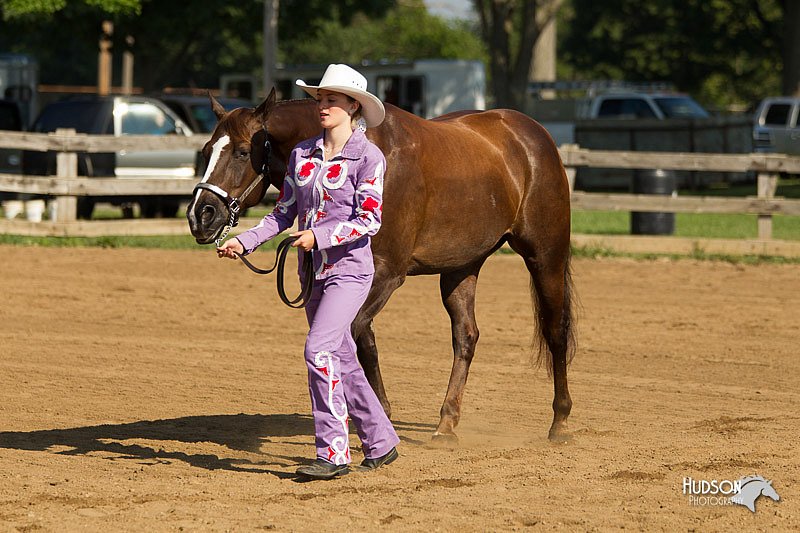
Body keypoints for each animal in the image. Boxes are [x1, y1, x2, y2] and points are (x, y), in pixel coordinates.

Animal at [188, 89, 576, 440]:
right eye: (206, 151)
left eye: (242, 152)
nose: (200, 215)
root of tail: (532, 134)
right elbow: (364, 342)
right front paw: (375, 416)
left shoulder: (388, 274)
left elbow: (354, 336)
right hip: (462, 266)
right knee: (466, 337)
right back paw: (446, 423)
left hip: (545, 256)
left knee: (555, 331)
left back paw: (560, 423)